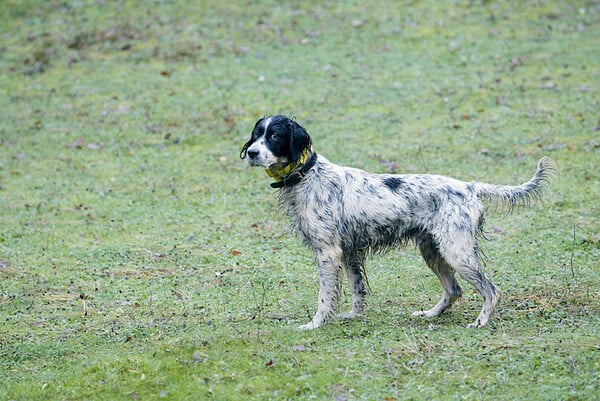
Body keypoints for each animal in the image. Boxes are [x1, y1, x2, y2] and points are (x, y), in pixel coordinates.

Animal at [240, 115, 556, 328]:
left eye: (275, 136)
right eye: (257, 134)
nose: (252, 153)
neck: (308, 174)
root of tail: (469, 186)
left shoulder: (328, 253)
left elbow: (325, 297)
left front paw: (315, 324)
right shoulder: (350, 252)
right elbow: (357, 290)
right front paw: (354, 316)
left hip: (457, 252)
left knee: (492, 291)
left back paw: (480, 322)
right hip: (433, 251)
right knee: (454, 290)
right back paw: (430, 314)